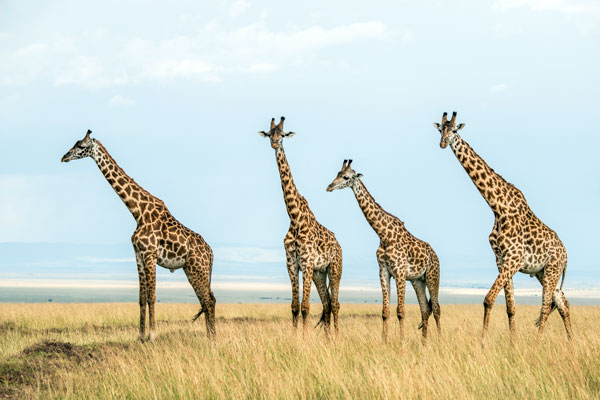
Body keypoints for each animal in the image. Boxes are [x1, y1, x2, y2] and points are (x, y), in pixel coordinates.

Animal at [60, 130, 216, 340]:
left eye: (82, 146)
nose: (64, 157)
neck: (137, 212)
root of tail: (210, 253)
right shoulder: (138, 255)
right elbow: (142, 298)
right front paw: (141, 336)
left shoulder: (150, 254)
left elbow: (152, 296)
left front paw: (152, 335)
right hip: (191, 269)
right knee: (207, 299)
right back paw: (210, 336)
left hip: (197, 269)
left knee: (208, 300)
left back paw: (212, 338)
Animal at [258, 117, 342, 332]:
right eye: (270, 134)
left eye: (283, 134)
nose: (274, 144)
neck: (295, 218)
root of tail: (339, 245)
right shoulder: (291, 263)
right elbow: (295, 306)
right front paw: (295, 336)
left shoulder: (307, 262)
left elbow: (305, 307)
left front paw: (304, 337)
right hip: (320, 273)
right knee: (327, 303)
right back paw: (328, 337)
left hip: (334, 268)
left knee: (335, 303)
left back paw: (337, 336)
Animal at [328, 159, 440, 340]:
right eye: (337, 173)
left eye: (346, 177)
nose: (329, 186)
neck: (384, 235)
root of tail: (435, 255)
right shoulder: (384, 271)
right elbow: (385, 311)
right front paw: (384, 340)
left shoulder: (400, 272)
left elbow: (400, 311)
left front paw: (402, 341)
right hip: (418, 281)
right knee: (425, 308)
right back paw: (424, 341)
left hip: (432, 275)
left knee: (436, 308)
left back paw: (439, 338)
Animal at [434, 111, 568, 346]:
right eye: (441, 129)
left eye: (455, 131)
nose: (442, 143)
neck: (498, 207)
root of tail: (567, 255)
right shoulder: (501, 260)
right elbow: (510, 308)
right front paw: (512, 343)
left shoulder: (513, 260)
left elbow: (488, 299)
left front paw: (483, 343)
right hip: (543, 272)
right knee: (563, 303)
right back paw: (570, 341)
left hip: (552, 270)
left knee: (545, 308)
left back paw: (537, 343)